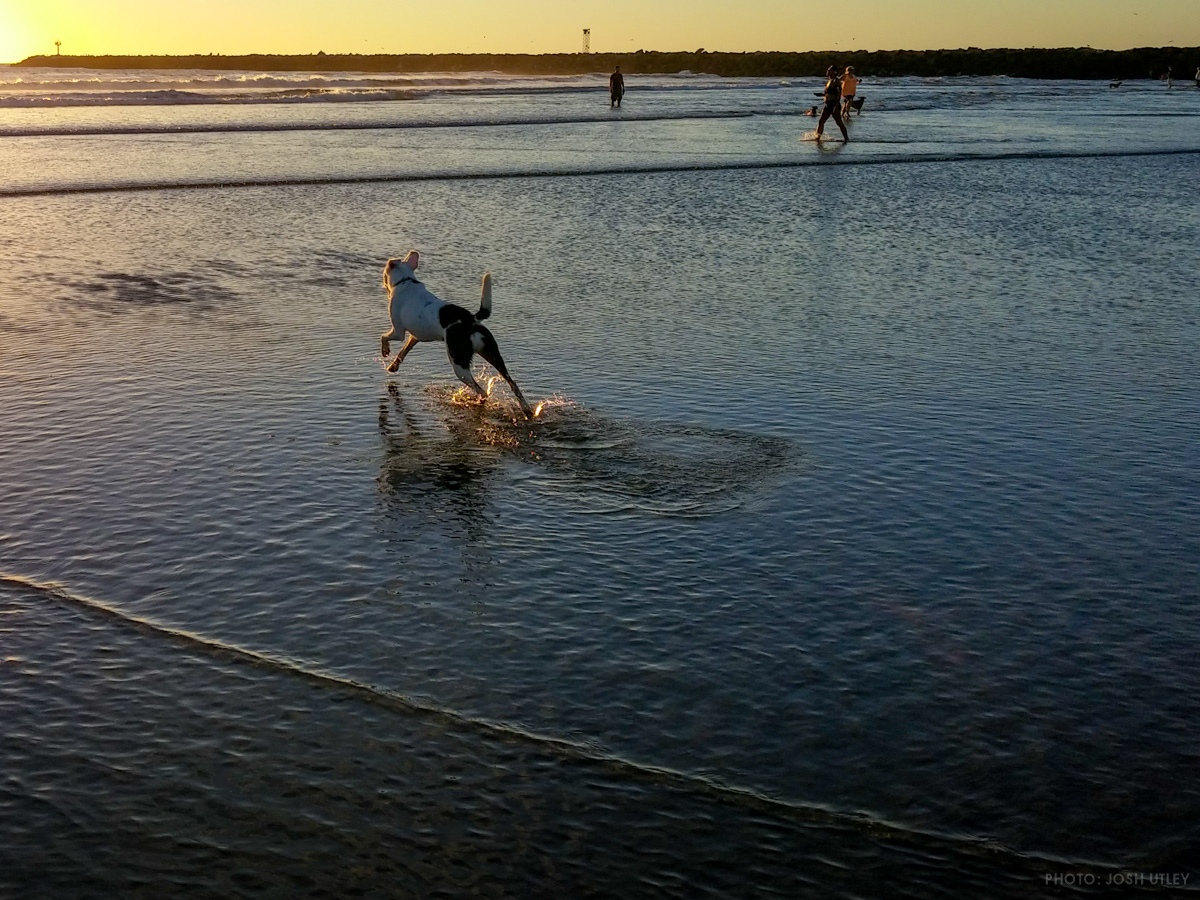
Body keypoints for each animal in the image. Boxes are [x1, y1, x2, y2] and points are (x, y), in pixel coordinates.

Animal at [381, 250, 532, 420]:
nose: (383, 284)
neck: (405, 280)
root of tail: (470, 320)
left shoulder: (398, 332)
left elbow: (384, 337)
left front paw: (385, 351)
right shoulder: (415, 337)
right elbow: (403, 351)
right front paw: (394, 366)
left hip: (459, 364)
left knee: (482, 391)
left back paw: (476, 402)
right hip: (493, 355)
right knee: (513, 384)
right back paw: (526, 409)